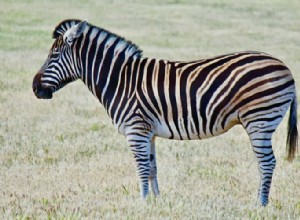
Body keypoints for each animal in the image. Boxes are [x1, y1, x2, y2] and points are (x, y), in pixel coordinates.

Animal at [32, 19, 298, 206]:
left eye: (53, 55)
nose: (35, 88)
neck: (120, 80)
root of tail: (284, 66)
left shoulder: (136, 130)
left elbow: (141, 167)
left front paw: (141, 203)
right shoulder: (147, 132)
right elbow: (151, 167)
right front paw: (156, 203)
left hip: (260, 120)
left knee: (267, 162)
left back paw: (260, 205)